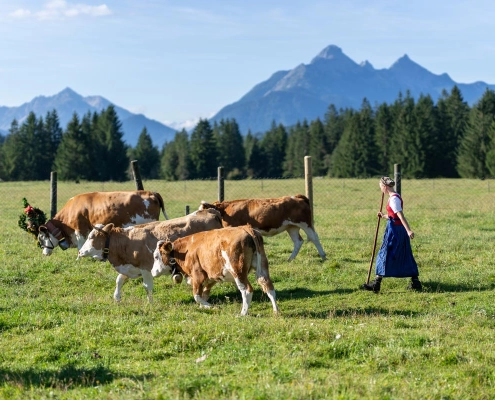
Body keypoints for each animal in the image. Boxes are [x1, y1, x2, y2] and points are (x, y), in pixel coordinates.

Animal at [78, 211, 223, 302]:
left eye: (91, 237)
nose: (80, 252)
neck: (126, 241)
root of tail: (210, 211)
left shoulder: (145, 269)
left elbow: (147, 286)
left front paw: (150, 303)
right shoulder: (129, 267)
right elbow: (119, 280)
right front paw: (117, 298)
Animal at [152, 225, 280, 316]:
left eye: (156, 256)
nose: (153, 272)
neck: (186, 250)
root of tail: (247, 228)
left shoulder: (197, 276)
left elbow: (197, 297)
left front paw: (212, 307)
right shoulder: (211, 277)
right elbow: (204, 295)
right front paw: (204, 307)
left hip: (238, 271)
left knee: (247, 290)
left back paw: (243, 313)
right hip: (262, 267)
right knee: (269, 287)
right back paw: (276, 311)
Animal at [200, 195, 328, 262]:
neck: (226, 210)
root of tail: (297, 197)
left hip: (305, 223)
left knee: (314, 237)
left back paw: (323, 256)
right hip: (292, 227)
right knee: (298, 241)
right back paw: (290, 259)